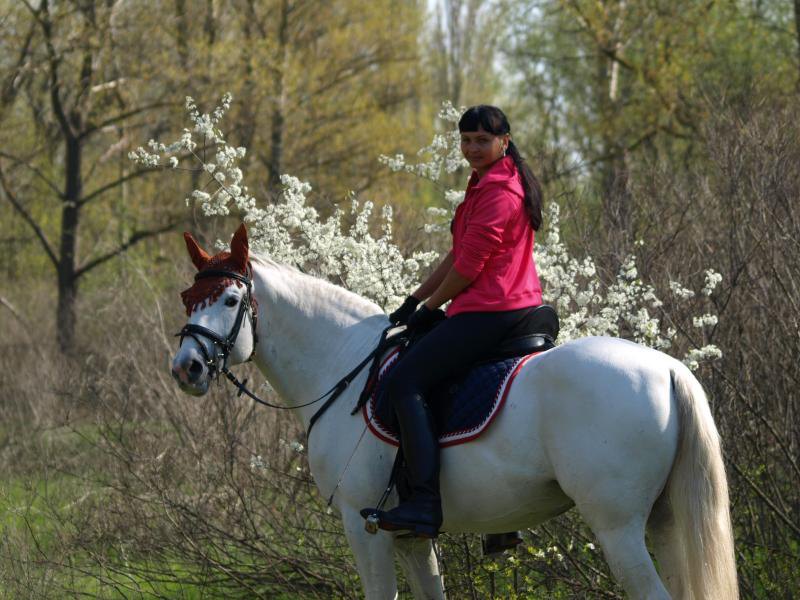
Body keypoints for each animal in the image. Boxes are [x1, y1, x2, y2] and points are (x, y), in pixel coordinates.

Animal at [173, 226, 736, 600]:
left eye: (229, 300)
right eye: (187, 298)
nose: (187, 368)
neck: (342, 361)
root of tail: (668, 369)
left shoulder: (362, 525)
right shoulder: (409, 536)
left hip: (618, 526)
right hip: (664, 521)